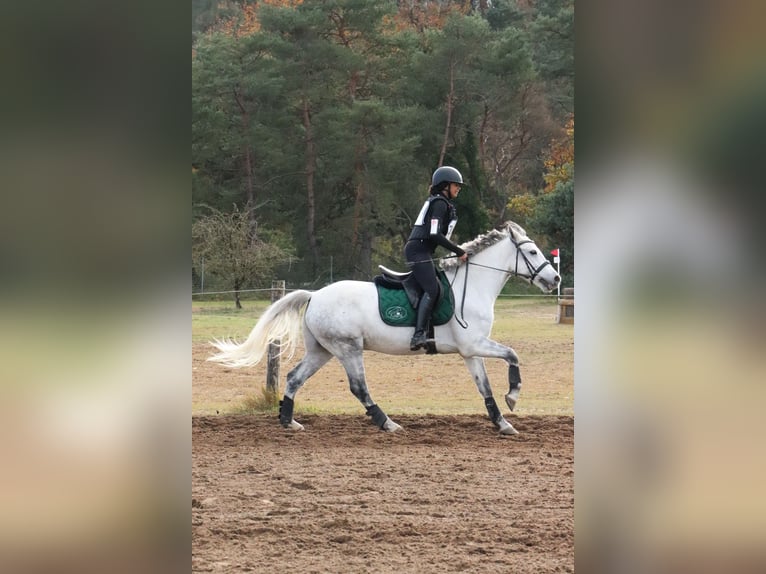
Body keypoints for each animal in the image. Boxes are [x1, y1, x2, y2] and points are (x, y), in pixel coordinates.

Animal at [208, 221, 560, 435]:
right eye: (532, 251)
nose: (555, 278)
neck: (472, 285)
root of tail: (315, 294)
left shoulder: (470, 351)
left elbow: (484, 388)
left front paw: (502, 422)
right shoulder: (475, 345)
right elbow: (513, 355)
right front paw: (513, 396)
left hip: (323, 350)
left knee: (295, 377)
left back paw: (288, 421)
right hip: (348, 348)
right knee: (359, 387)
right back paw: (387, 423)